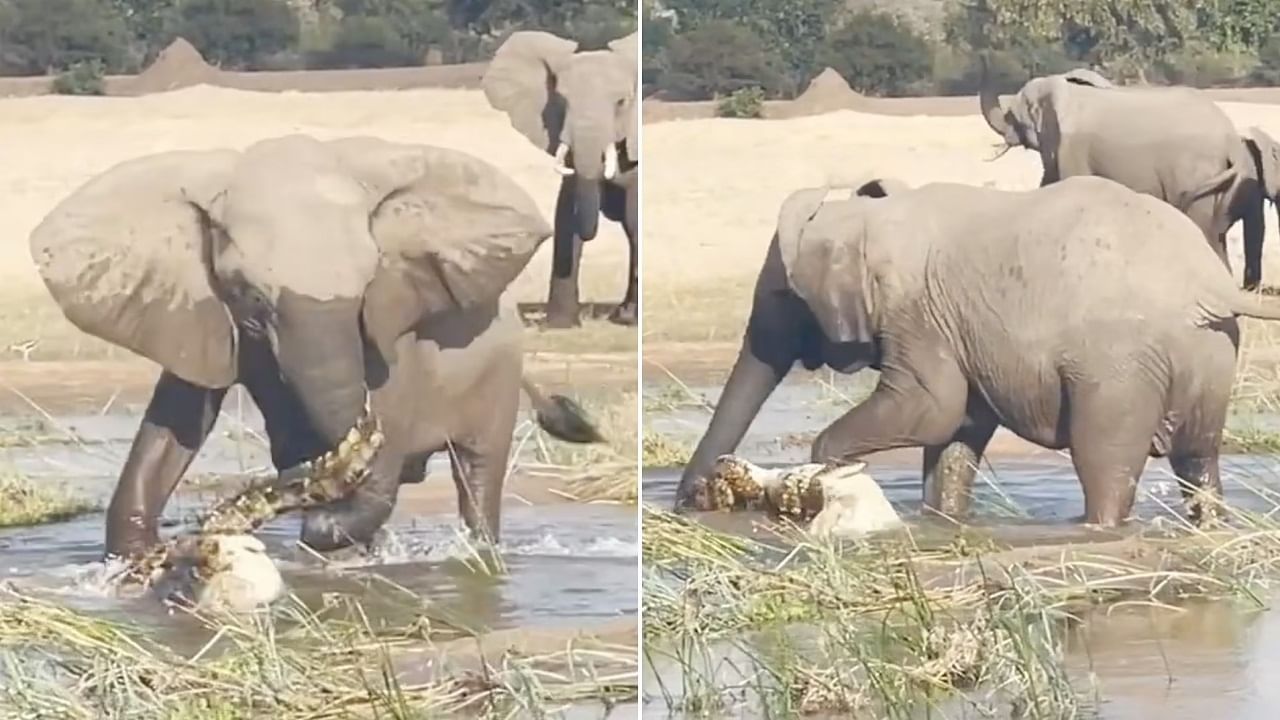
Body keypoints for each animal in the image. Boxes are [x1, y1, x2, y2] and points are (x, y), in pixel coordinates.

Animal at [30, 135, 599, 561]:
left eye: (369, 284)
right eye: (251, 297)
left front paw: (325, 537)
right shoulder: (197, 309)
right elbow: (178, 419)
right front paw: (132, 559)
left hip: (497, 377)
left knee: (478, 475)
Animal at [675, 176, 1280, 525]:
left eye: (784, 295)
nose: (692, 501)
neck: (866, 219)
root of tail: (1209, 284)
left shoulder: (917, 313)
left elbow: (931, 407)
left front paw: (824, 471)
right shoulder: (954, 327)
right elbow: (957, 429)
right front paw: (940, 522)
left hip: (1119, 368)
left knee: (1104, 464)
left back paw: (1097, 529)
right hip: (1206, 354)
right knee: (1198, 460)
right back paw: (1209, 523)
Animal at [977, 62, 1259, 285]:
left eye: (1013, 117)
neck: (1065, 89)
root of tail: (1230, 138)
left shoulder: (1071, 146)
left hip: (1194, 171)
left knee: (1201, 224)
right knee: (1216, 232)